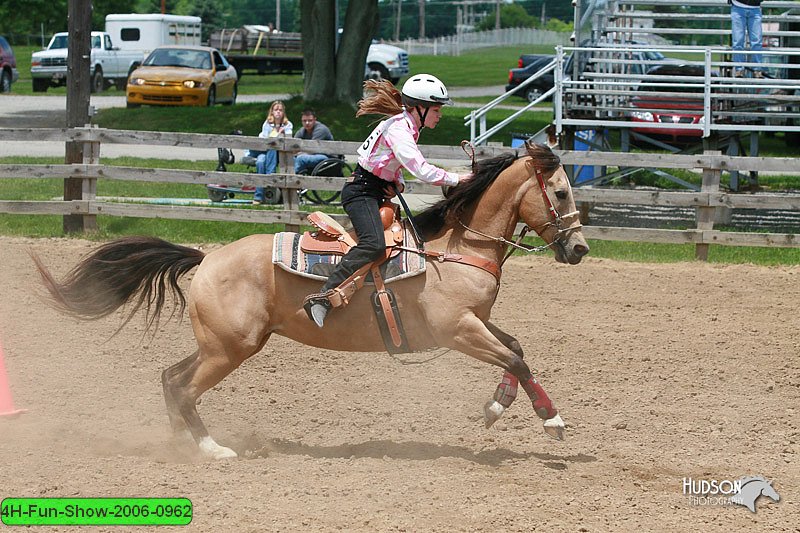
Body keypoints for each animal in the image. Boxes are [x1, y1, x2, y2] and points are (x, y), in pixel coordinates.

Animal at [31, 141, 588, 458]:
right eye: (560, 193)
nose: (579, 249)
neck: (454, 250)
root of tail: (207, 259)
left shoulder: (477, 322)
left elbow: (516, 350)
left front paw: (496, 408)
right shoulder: (456, 330)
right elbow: (516, 357)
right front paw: (552, 422)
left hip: (223, 345)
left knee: (171, 378)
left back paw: (181, 444)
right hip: (230, 350)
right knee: (185, 388)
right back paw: (213, 450)